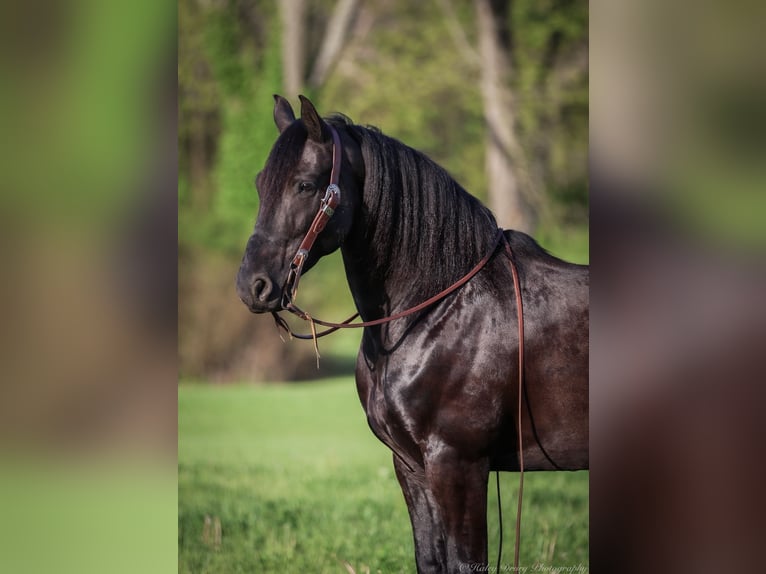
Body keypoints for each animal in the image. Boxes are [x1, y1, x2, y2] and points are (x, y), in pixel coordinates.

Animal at [237, 97, 592, 572]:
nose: (251, 285)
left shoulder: (458, 465)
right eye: (261, 184)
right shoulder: (411, 467)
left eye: (305, 185)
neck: (436, 310)